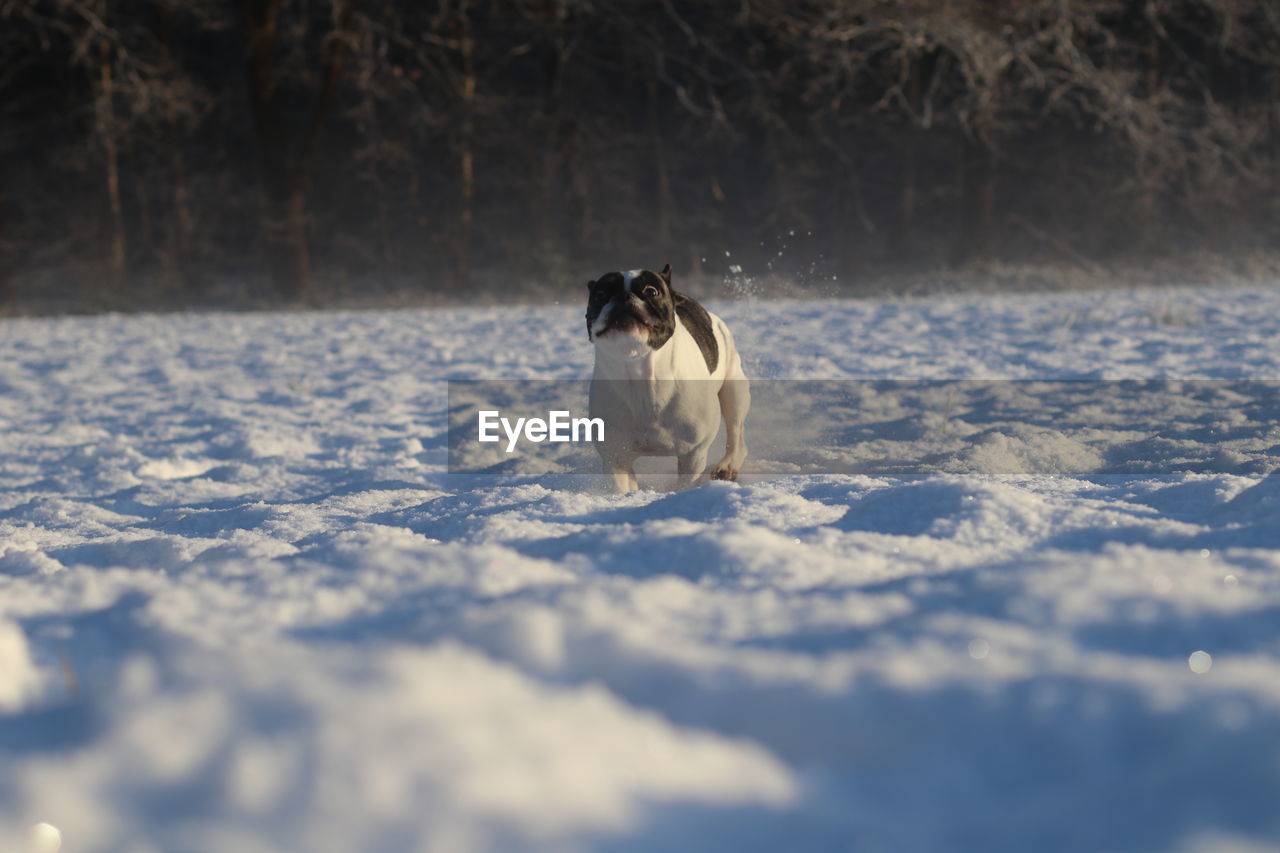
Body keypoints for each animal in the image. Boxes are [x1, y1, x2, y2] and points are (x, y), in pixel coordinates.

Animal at [583, 266, 747, 491]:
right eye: (600, 294)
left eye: (651, 291)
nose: (624, 296)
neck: (639, 370)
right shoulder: (616, 457)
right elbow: (621, 486)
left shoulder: (693, 453)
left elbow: (686, 484)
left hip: (734, 390)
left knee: (735, 430)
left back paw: (728, 465)